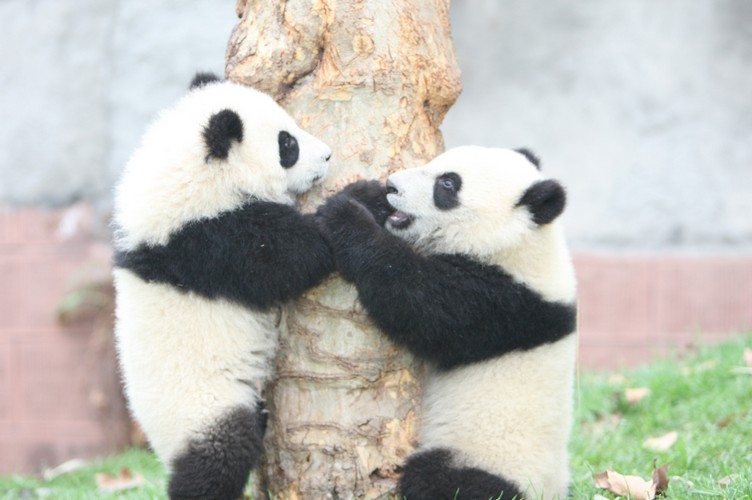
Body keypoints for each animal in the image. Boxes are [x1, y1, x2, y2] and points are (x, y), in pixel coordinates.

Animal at [112, 72, 334, 499]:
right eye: (287, 144)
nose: (328, 156)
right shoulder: (210, 241)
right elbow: (290, 257)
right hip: (204, 408)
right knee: (218, 459)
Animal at [316, 146, 577, 499]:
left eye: (448, 184)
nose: (392, 186)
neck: (523, 242)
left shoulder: (500, 301)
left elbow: (417, 302)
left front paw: (345, 213)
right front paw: (368, 195)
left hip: (489, 456)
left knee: (441, 480)